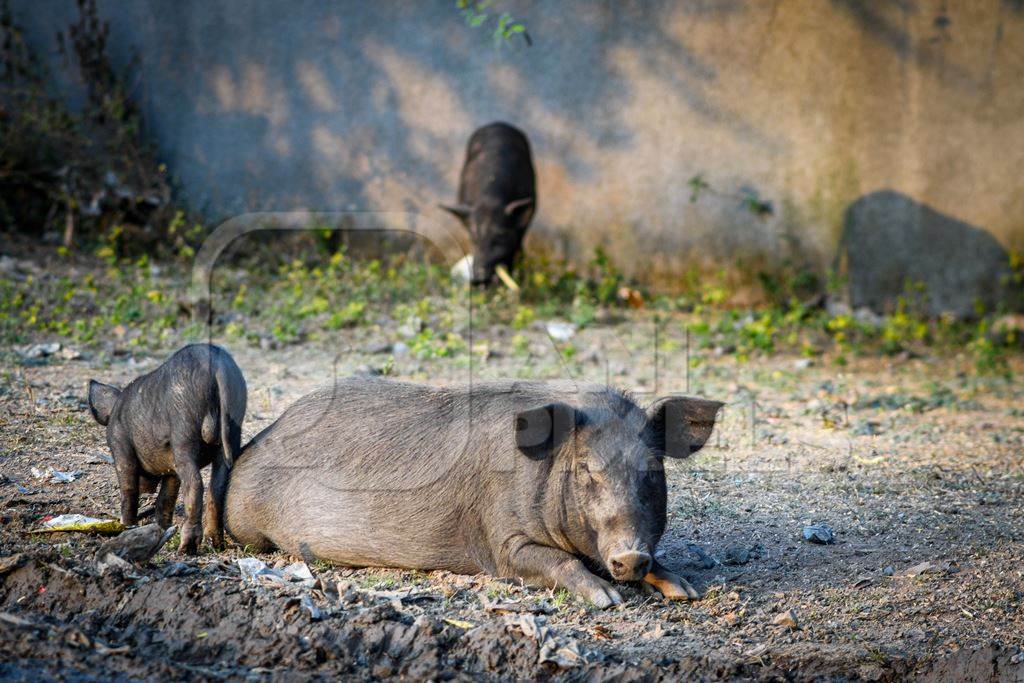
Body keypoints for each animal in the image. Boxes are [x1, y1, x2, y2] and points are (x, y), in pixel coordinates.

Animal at [88, 344, 245, 552]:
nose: (147, 487)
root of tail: (216, 365)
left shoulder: (120, 447)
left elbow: (128, 488)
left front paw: (125, 527)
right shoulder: (170, 469)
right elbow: (167, 497)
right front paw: (161, 529)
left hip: (183, 434)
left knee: (195, 483)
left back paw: (186, 548)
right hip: (233, 430)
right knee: (217, 486)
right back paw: (215, 544)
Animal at [226, 376, 720, 606]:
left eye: (652, 470)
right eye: (586, 470)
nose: (630, 556)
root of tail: (264, 436)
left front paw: (687, 591)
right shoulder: (499, 542)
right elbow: (554, 560)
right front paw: (607, 598)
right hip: (245, 523)